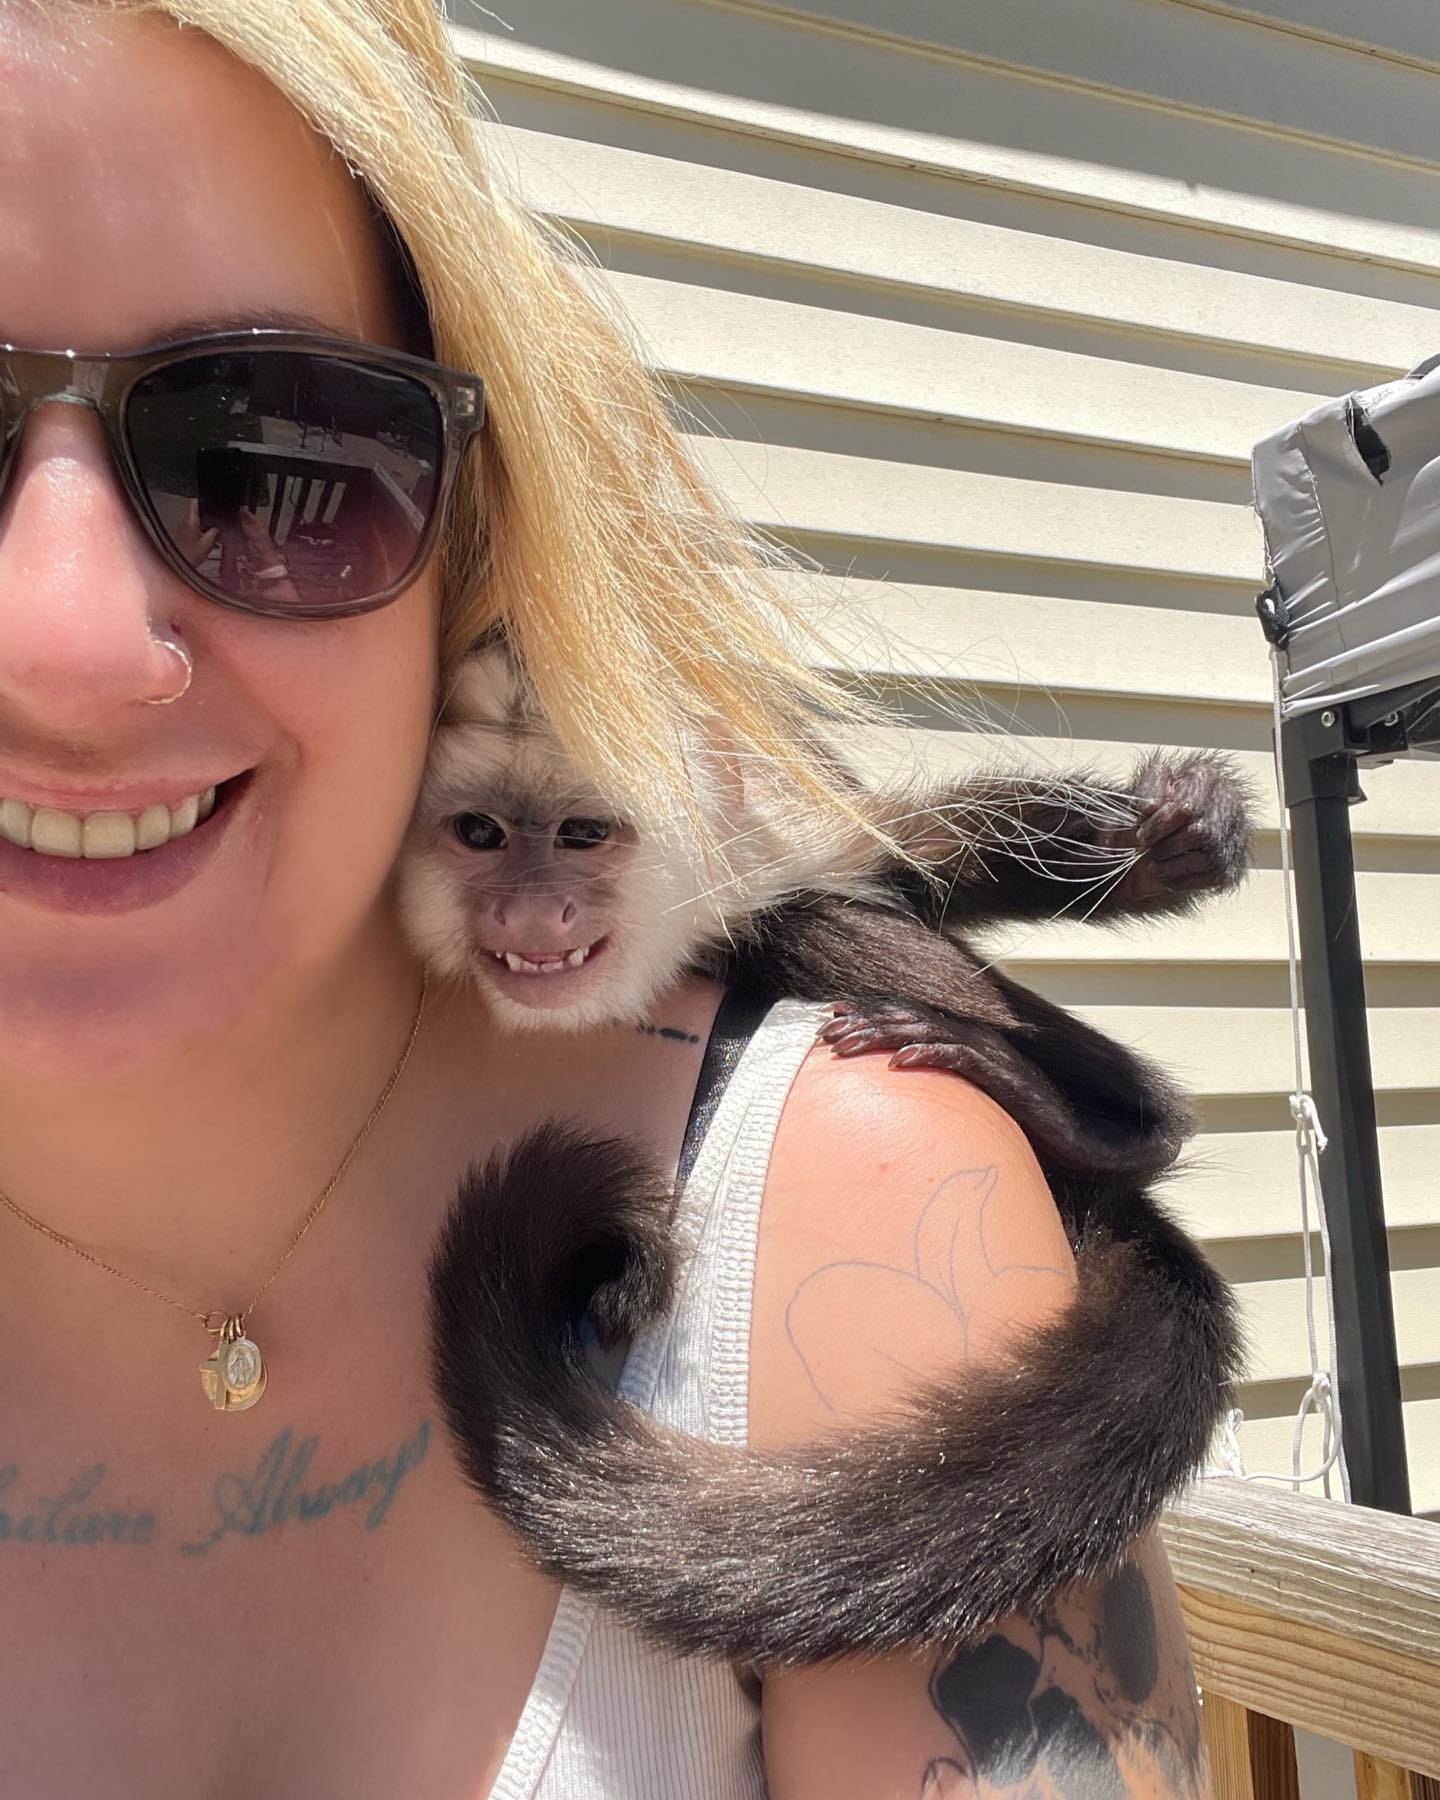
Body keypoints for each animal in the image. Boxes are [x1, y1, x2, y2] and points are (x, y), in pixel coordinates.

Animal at [410, 641, 1251, 1665]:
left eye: (582, 834)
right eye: (479, 834)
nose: (533, 917)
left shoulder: (752, 811)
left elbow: (906, 862)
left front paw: (1174, 840)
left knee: (806, 918)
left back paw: (1116, 1125)